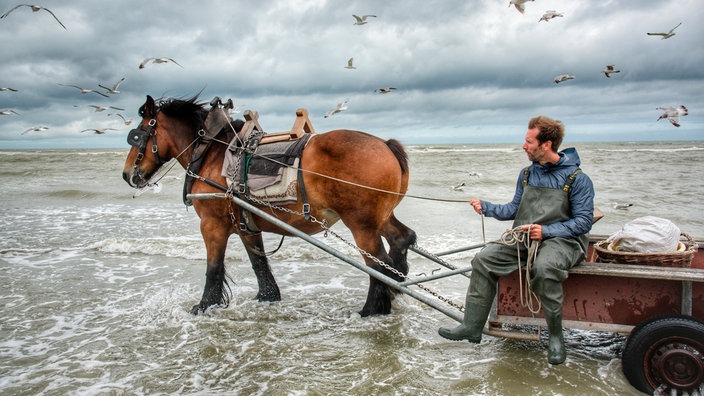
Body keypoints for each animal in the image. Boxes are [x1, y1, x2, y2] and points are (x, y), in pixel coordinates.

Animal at [122, 97, 418, 318]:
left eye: (138, 135)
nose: (127, 174)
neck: (211, 153)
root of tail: (385, 145)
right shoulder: (246, 225)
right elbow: (259, 263)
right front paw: (267, 296)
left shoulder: (211, 224)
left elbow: (214, 268)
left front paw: (205, 305)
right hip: (381, 217)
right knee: (402, 239)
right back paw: (396, 288)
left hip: (361, 224)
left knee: (378, 264)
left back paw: (372, 309)